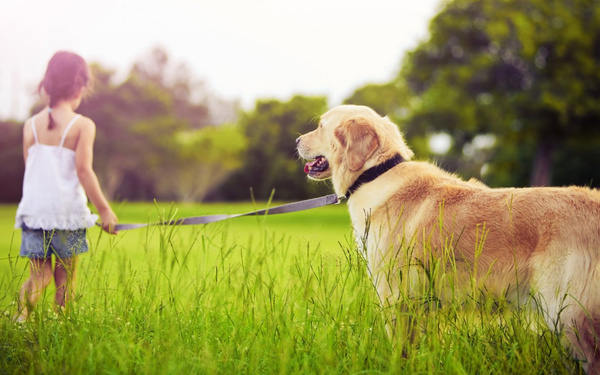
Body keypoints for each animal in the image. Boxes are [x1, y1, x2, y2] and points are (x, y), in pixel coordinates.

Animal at [298, 104, 600, 374]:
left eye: (321, 126)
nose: (297, 140)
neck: (375, 174)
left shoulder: (394, 294)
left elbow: (399, 350)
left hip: (569, 314)